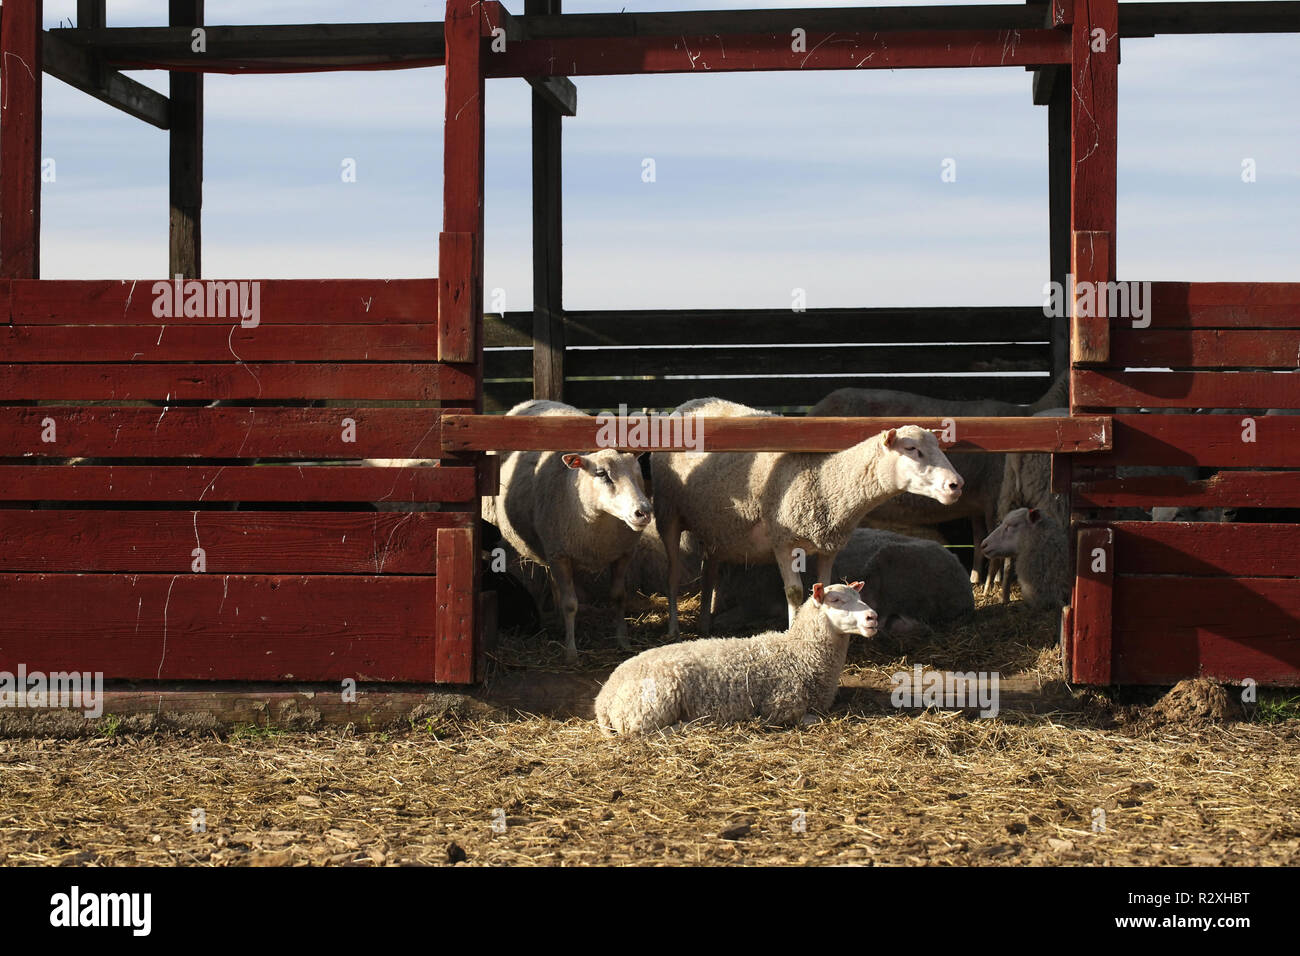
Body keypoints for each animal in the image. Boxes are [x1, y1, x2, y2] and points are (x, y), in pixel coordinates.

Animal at [480, 400, 650, 660]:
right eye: (602, 474)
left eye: (637, 472)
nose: (643, 512)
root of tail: (528, 403)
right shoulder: (560, 554)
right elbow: (571, 603)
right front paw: (571, 652)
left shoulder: (622, 554)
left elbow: (618, 597)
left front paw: (624, 642)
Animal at [595, 580, 878, 738]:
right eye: (836, 600)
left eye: (860, 597)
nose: (872, 617)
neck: (799, 653)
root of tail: (604, 699)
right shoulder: (782, 708)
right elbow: (815, 719)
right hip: (648, 710)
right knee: (644, 733)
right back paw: (691, 726)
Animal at [650, 400, 967, 639]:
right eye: (912, 449)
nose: (956, 485)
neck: (825, 481)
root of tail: (687, 405)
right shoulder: (784, 540)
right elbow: (794, 592)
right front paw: (793, 632)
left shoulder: (829, 544)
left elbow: (824, 586)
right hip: (668, 512)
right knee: (673, 572)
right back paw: (674, 629)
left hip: (715, 525)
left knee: (710, 570)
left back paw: (704, 625)